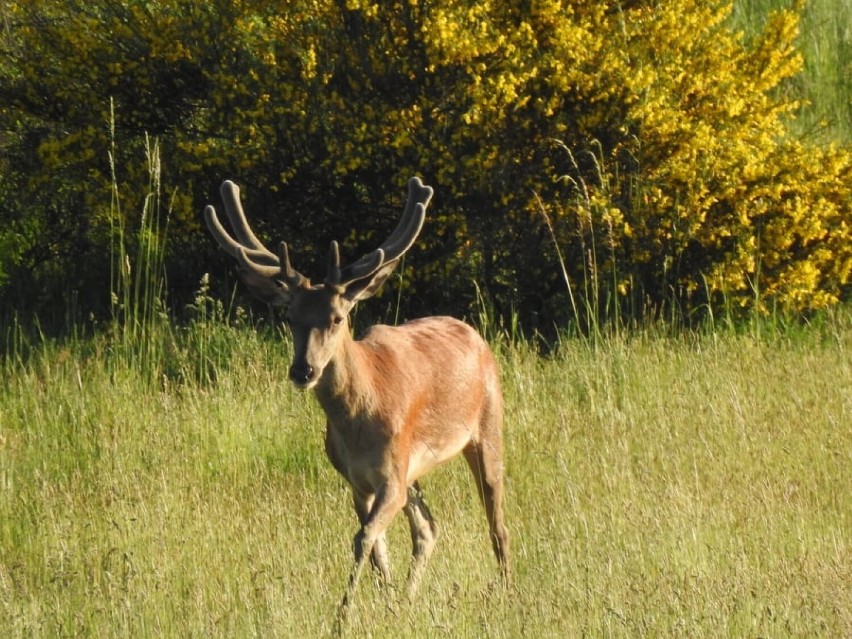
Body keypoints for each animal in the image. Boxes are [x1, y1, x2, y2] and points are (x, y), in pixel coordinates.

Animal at [203, 175, 510, 620]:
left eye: (336, 317)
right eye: (289, 317)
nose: (303, 370)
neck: (360, 420)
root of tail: (474, 334)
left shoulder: (392, 475)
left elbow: (362, 539)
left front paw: (342, 614)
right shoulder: (357, 480)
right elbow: (377, 545)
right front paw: (386, 602)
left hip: (487, 426)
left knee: (497, 521)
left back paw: (506, 591)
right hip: (414, 471)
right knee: (428, 527)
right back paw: (408, 597)